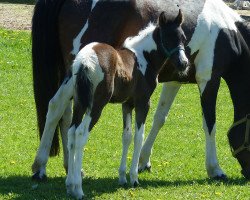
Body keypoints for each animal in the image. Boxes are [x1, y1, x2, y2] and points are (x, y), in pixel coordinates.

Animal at [34, 10, 188, 198]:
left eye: (183, 38)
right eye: (168, 37)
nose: (184, 64)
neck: (143, 58)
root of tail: (85, 61)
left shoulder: (127, 104)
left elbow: (126, 136)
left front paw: (122, 177)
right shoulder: (143, 103)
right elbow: (138, 137)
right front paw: (134, 178)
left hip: (80, 103)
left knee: (72, 133)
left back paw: (70, 185)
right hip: (96, 105)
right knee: (81, 134)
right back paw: (78, 188)